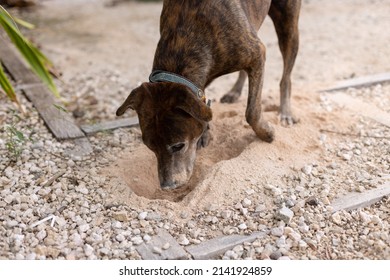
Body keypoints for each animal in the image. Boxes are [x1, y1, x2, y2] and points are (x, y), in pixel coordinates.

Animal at [116, 0, 302, 189]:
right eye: (150, 147)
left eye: (178, 146)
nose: (167, 186)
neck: (183, 38)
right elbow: (202, 102)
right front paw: (205, 132)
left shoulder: (257, 53)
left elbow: (252, 111)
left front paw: (266, 133)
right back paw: (234, 92)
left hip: (287, 22)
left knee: (286, 76)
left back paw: (285, 112)